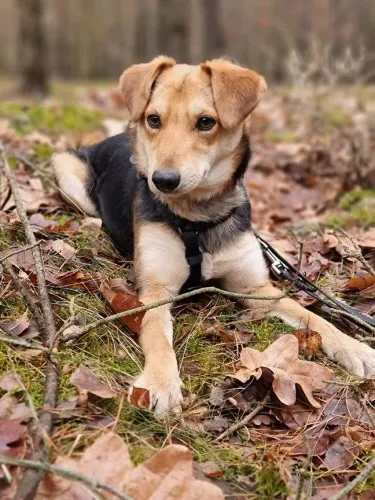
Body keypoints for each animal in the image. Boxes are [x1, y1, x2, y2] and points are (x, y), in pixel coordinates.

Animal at [52, 56, 375, 416]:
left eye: (206, 122)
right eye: (154, 119)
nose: (163, 180)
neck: (197, 218)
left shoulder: (256, 289)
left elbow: (313, 317)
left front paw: (354, 348)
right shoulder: (155, 290)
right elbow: (157, 335)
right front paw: (160, 382)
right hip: (66, 169)